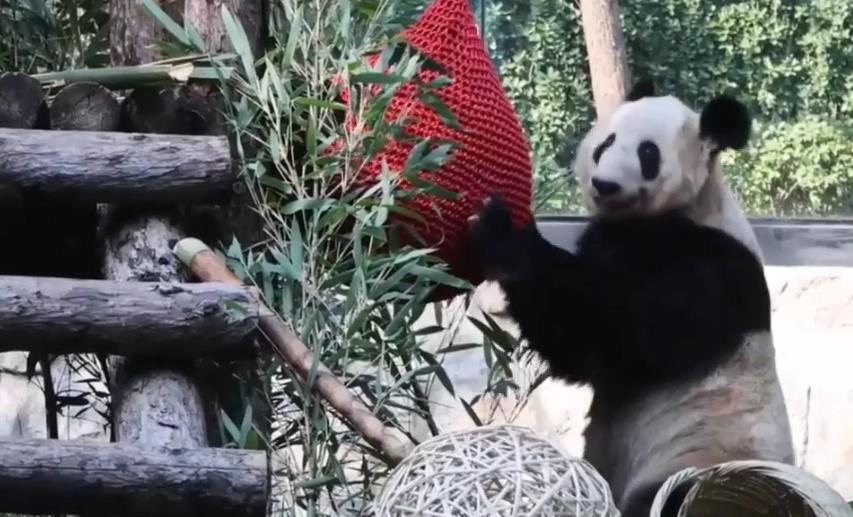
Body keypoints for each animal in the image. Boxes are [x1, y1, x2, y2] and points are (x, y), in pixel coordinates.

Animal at [466, 86, 792, 512]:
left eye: (647, 153)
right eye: (605, 143)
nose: (604, 184)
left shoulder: (709, 270)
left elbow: (604, 337)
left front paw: (503, 232)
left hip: (690, 457)